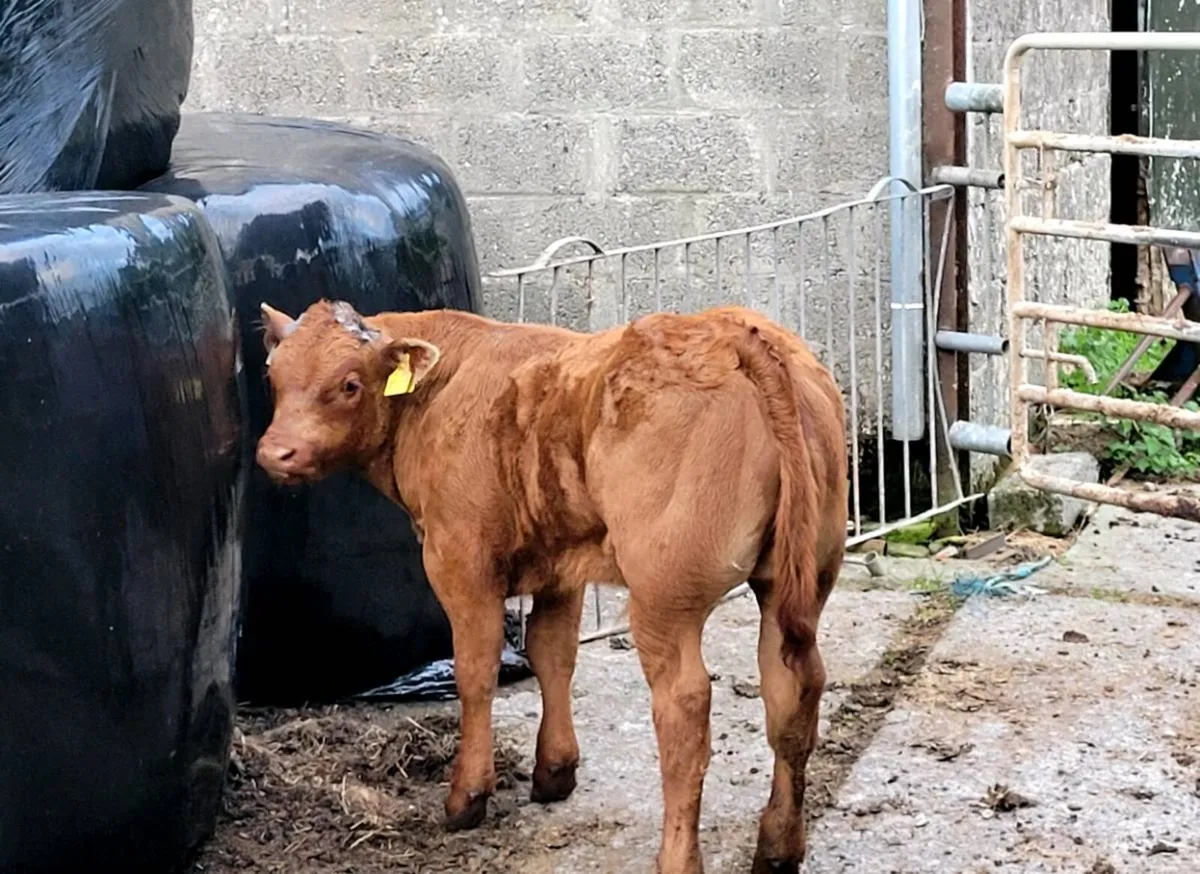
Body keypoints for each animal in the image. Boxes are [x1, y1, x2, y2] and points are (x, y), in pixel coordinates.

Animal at [254, 299, 848, 874]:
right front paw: (555, 770)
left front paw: (467, 796)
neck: (444, 387)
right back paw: (778, 847)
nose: (275, 453)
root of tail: (732, 330)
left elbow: (476, 671)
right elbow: (552, 653)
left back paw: (679, 859)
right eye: (274, 376)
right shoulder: (560, 562)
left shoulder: (459, 558)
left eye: (350, 384)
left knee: (684, 710)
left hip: (664, 599)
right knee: (791, 690)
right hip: (798, 578)